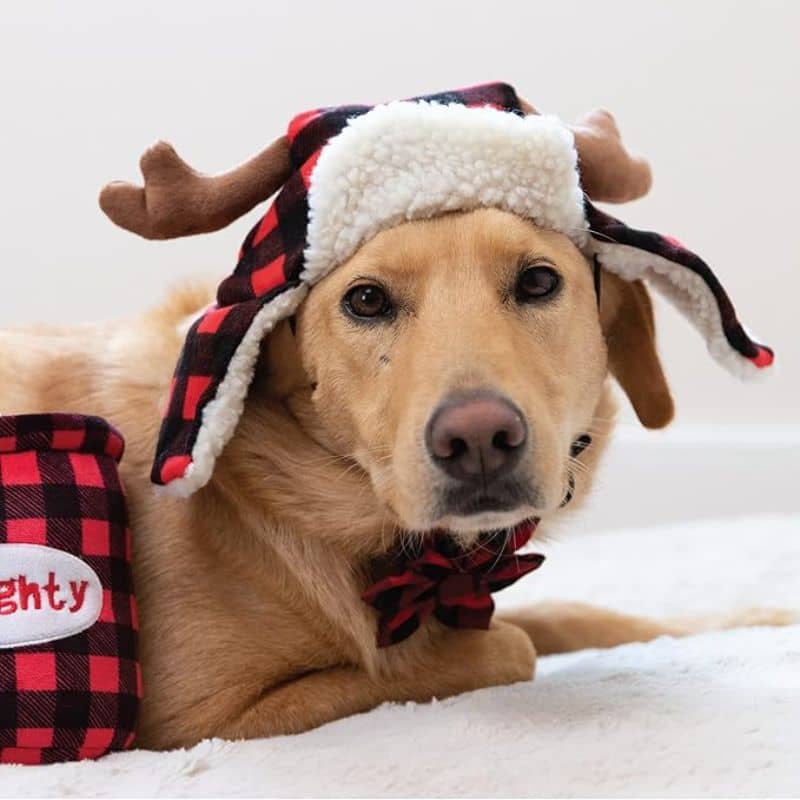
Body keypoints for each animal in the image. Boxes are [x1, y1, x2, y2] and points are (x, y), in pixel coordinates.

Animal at [0, 86, 780, 752]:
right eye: (367, 300)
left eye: (538, 281)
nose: (478, 441)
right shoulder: (208, 718)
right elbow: (507, 646)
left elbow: (574, 614)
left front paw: (746, 619)